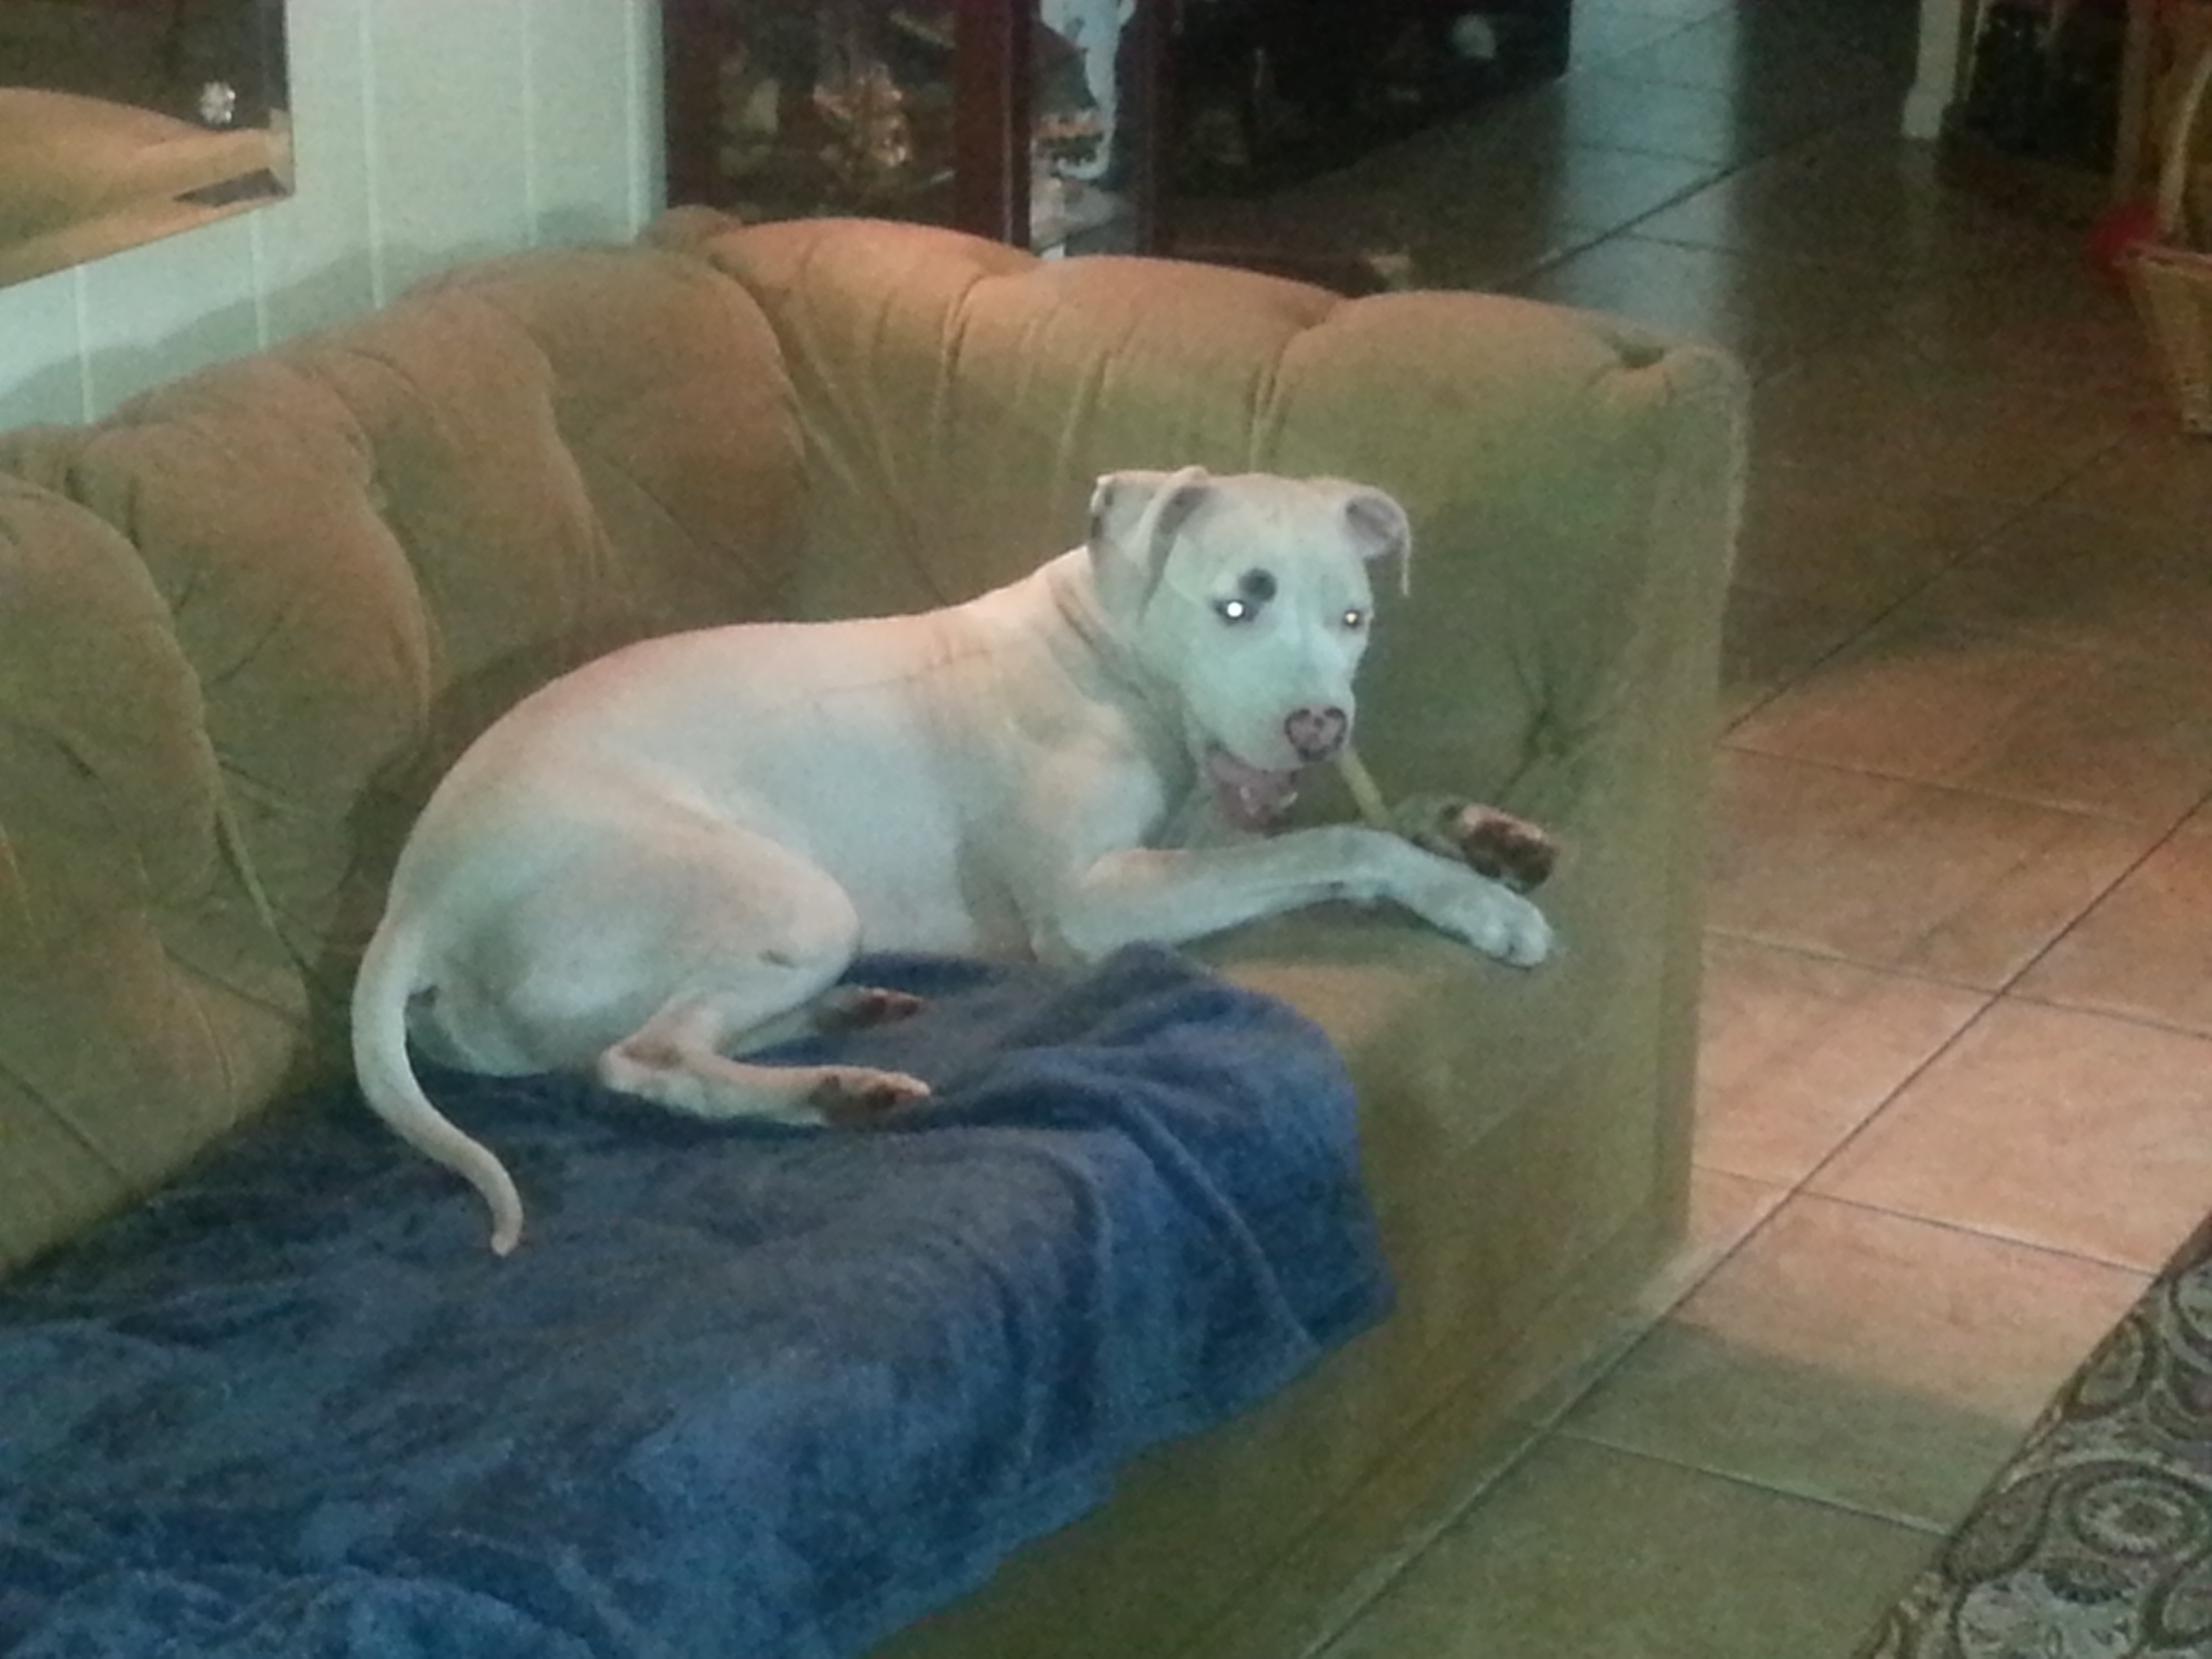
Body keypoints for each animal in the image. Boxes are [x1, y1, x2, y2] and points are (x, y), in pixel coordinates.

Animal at [350, 467, 1553, 1254]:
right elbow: (1342, 838)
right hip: (783, 895)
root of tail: (417, 898)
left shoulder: (1191, 838)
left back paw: (843, 1023)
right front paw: (1479, 906)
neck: (1107, 654)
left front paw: (1478, 833)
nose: (1319, 727)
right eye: (1236, 602)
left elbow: (1362, 819)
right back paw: (831, 1094)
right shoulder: (1094, 902)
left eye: (1353, 618)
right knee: (642, 1060)